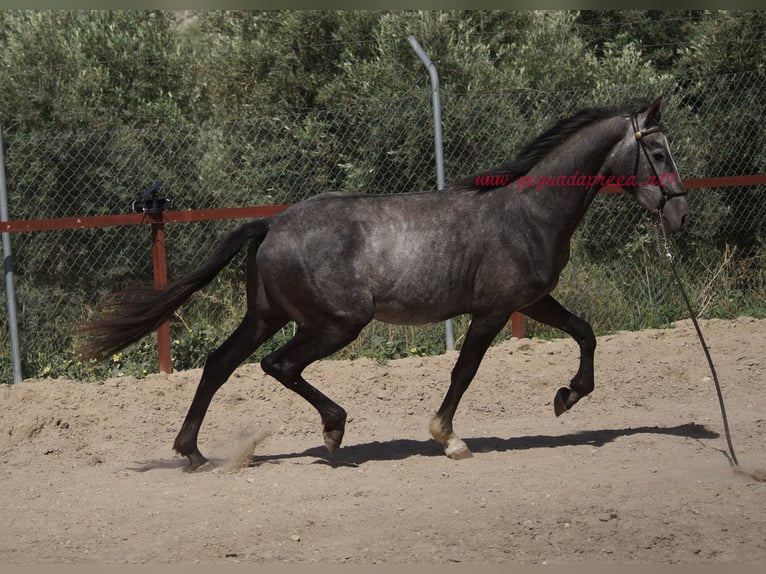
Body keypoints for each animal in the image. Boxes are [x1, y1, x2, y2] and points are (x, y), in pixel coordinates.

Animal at [78, 97, 688, 470]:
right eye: (658, 152)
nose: (680, 215)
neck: (527, 213)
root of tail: (271, 222)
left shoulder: (532, 301)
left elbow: (585, 332)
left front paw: (567, 397)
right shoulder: (491, 311)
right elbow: (464, 371)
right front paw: (449, 438)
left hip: (268, 315)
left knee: (219, 362)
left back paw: (194, 452)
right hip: (335, 323)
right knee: (278, 365)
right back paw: (333, 430)